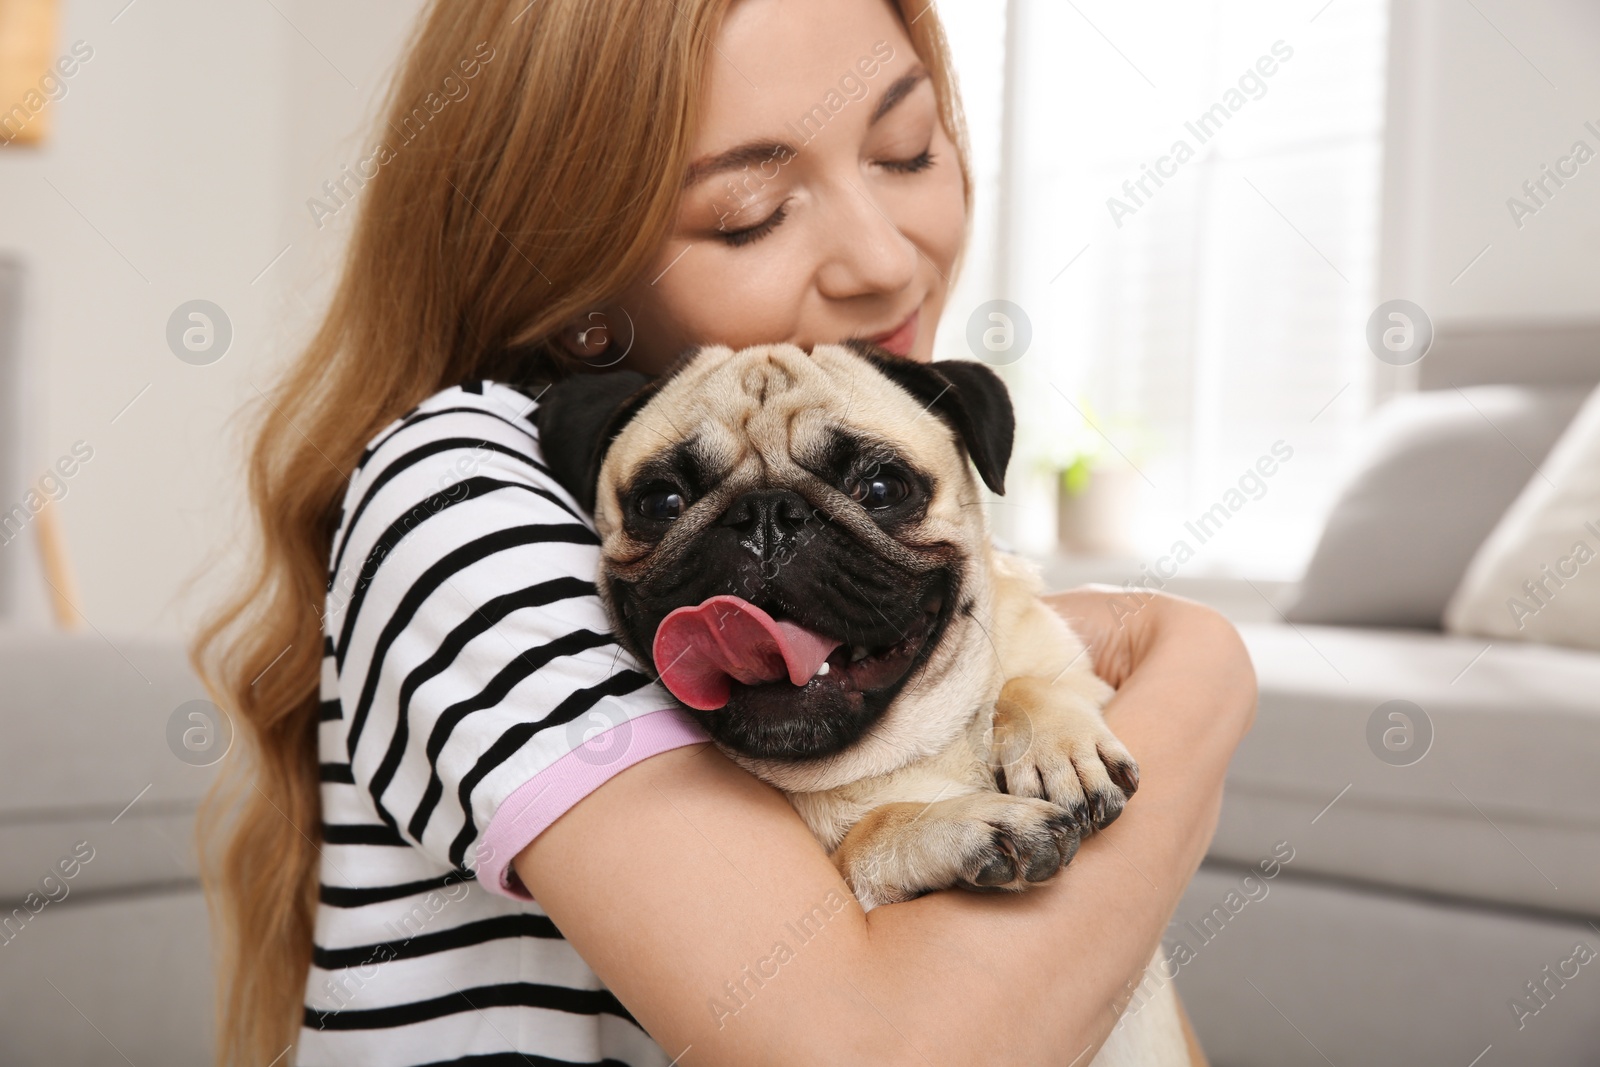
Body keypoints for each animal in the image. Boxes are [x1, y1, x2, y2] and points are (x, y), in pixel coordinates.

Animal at [534, 343, 1190, 1067]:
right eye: (662, 500)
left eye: (880, 489)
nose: (766, 515)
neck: (898, 750)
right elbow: (867, 837)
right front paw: (969, 824)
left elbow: (1024, 683)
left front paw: (1059, 749)